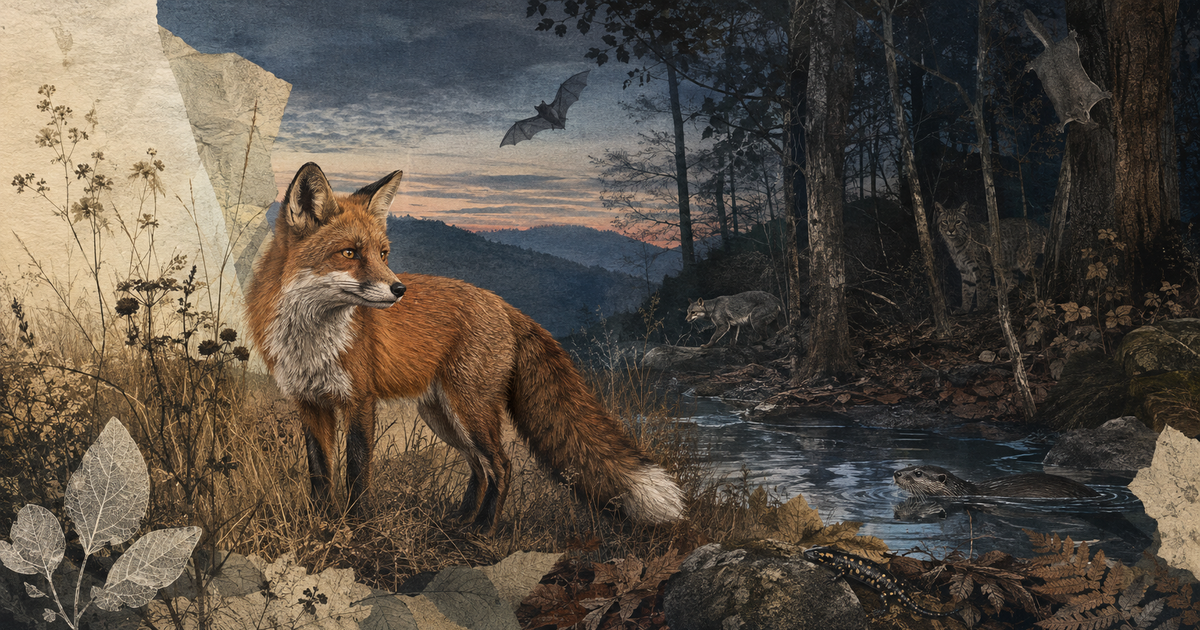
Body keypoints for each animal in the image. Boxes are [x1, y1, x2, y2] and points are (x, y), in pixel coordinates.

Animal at [245, 163, 683, 532]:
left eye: (383, 254)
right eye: (349, 253)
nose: (399, 289)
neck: (311, 337)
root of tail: (503, 304)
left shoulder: (359, 399)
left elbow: (357, 471)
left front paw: (358, 525)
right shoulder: (309, 402)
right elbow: (320, 473)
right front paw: (322, 524)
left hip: (469, 409)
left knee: (501, 466)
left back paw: (483, 530)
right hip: (443, 415)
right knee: (479, 468)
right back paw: (458, 521)